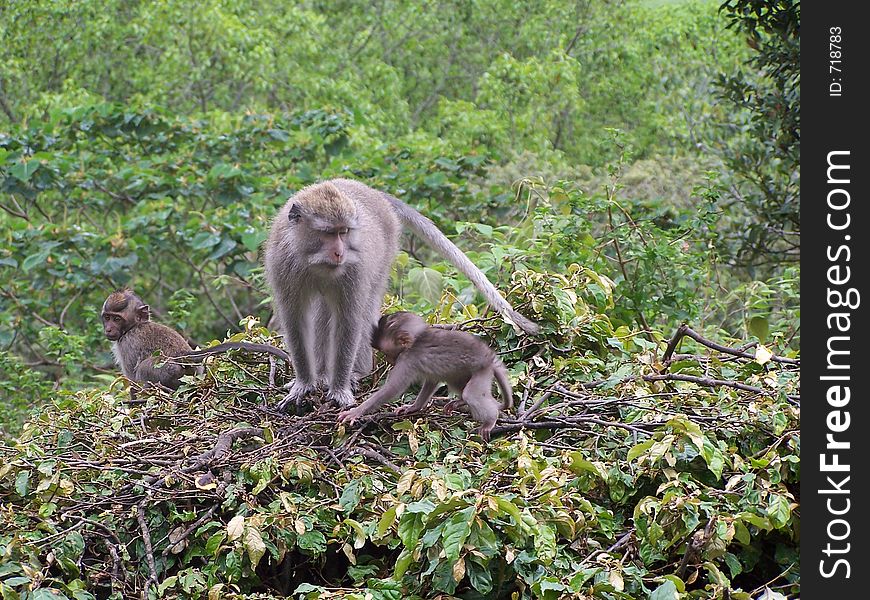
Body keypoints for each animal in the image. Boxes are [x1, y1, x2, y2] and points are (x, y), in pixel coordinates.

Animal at [101, 290, 292, 392]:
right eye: (107, 317)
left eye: (117, 319)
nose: (108, 329)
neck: (134, 326)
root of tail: (184, 354)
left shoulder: (126, 344)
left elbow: (134, 381)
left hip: (165, 370)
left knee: (145, 369)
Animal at [338, 312, 516, 442]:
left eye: (386, 353)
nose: (388, 360)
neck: (415, 340)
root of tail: (489, 357)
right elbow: (432, 380)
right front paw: (413, 407)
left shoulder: (406, 360)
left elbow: (392, 389)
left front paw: (355, 412)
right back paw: (459, 402)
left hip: (482, 372)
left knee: (471, 394)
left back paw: (490, 420)